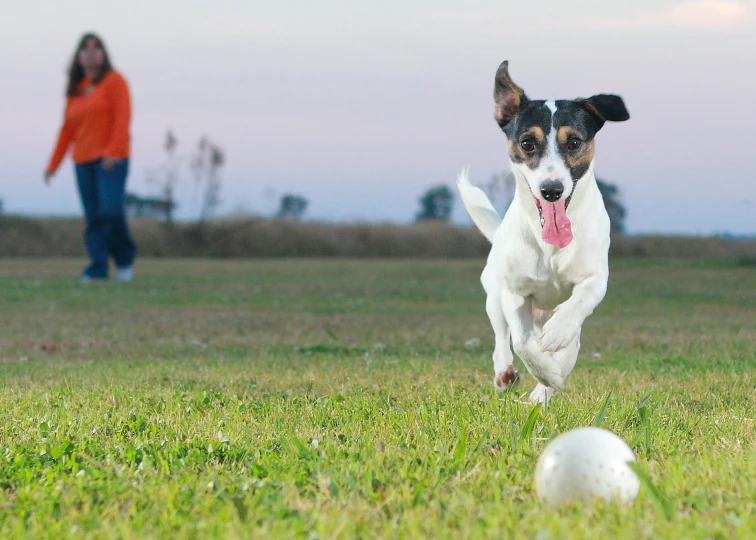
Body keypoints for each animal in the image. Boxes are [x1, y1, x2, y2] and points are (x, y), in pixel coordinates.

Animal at [458, 60, 628, 404]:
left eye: (574, 142)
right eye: (527, 143)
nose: (552, 190)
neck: (551, 247)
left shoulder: (595, 279)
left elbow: (575, 314)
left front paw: (555, 358)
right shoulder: (514, 293)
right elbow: (523, 342)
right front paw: (546, 372)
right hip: (494, 295)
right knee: (503, 339)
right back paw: (506, 374)